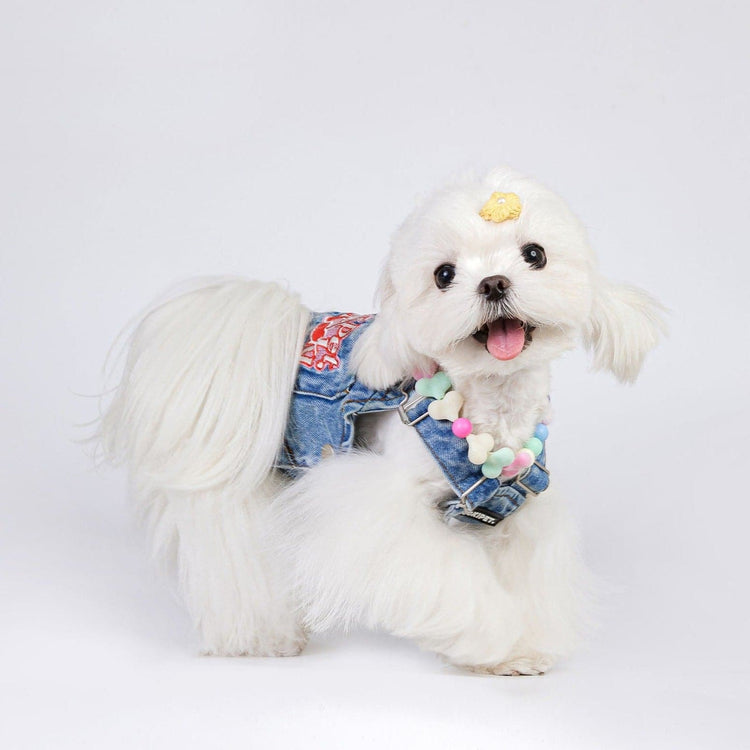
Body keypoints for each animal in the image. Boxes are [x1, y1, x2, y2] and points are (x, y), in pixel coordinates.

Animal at [100, 167, 664, 680]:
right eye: (443, 275)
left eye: (535, 255)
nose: (494, 283)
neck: (487, 414)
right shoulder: (385, 510)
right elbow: (454, 581)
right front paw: (491, 642)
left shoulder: (515, 518)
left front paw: (519, 651)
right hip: (236, 481)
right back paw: (261, 639)